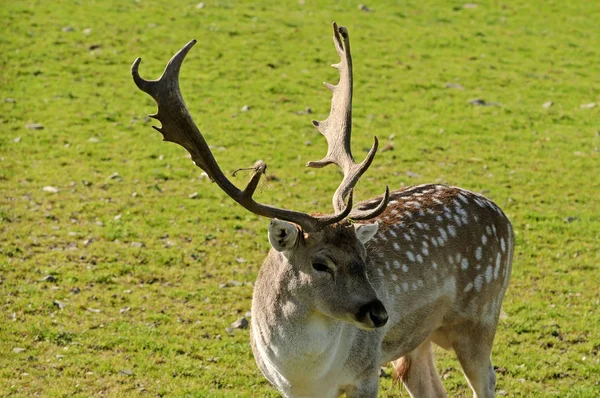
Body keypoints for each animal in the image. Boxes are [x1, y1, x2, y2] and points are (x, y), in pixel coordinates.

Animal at [134, 22, 512, 398]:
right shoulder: (286, 387)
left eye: (364, 256)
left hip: (481, 318)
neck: (306, 374)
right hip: (417, 340)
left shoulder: (365, 373)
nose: (380, 315)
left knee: (487, 378)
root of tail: (505, 218)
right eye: (320, 263)